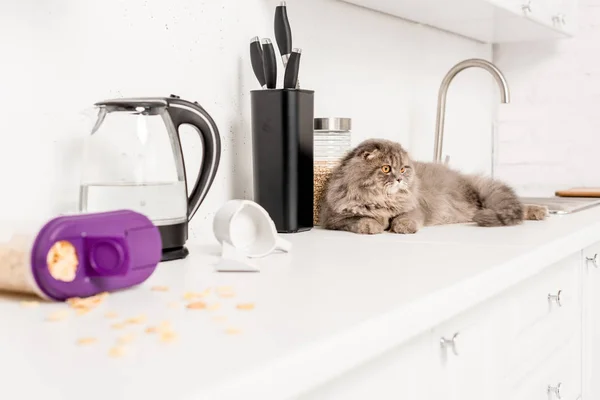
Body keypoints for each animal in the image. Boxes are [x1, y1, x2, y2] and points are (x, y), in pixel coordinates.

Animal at [318, 138, 548, 234]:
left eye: (403, 169)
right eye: (386, 168)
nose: (399, 179)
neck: (382, 200)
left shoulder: (414, 209)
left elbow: (405, 217)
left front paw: (401, 227)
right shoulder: (334, 219)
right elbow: (360, 219)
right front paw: (374, 225)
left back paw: (541, 210)